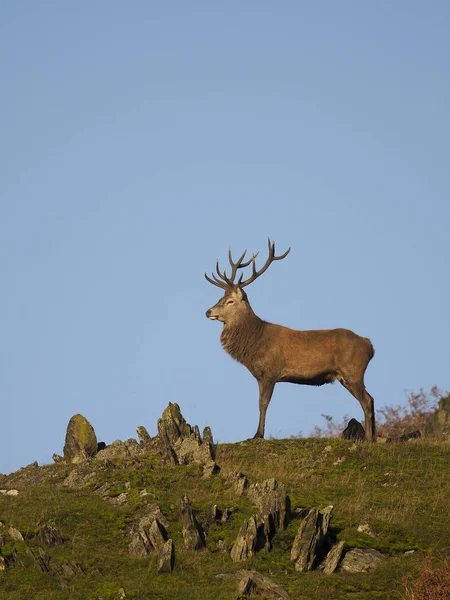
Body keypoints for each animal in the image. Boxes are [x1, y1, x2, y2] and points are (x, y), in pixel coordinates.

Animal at [205, 239, 376, 440]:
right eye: (220, 297)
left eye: (230, 301)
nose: (208, 311)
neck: (255, 344)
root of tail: (370, 346)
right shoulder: (259, 376)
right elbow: (259, 402)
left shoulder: (271, 371)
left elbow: (264, 403)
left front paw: (258, 434)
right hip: (345, 376)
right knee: (370, 398)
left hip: (353, 371)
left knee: (366, 400)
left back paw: (369, 439)